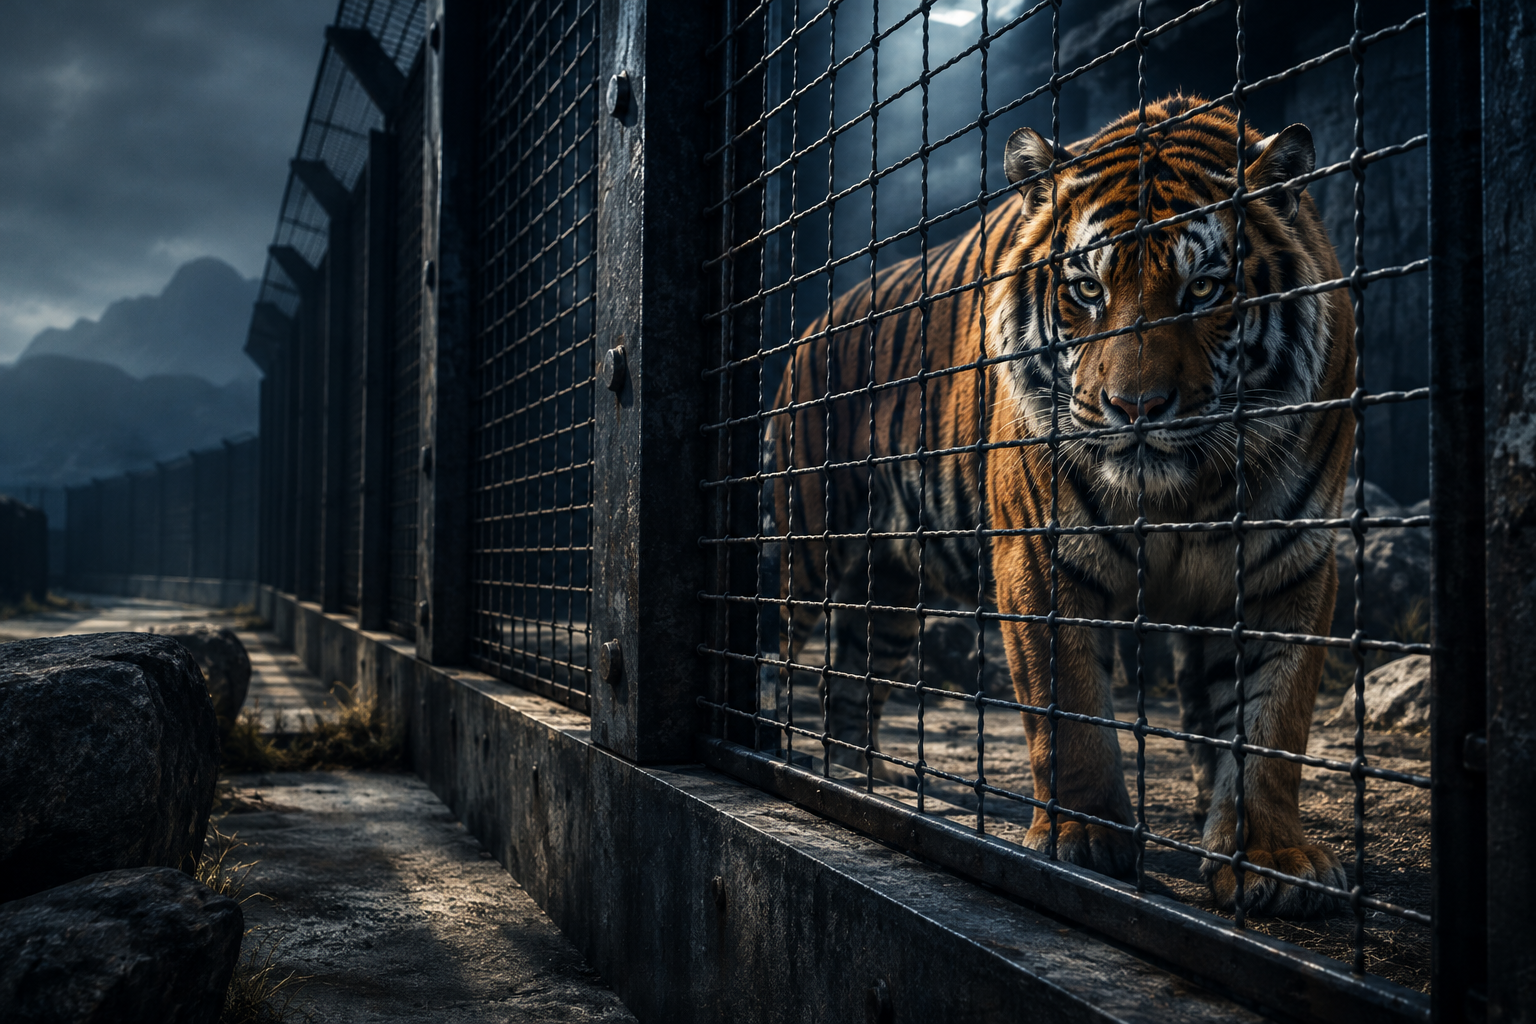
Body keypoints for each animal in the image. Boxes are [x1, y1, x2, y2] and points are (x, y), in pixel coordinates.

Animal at [764, 95, 1352, 918]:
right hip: (808, 545)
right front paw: (1084, 839)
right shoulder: (1042, 553)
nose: (1134, 407)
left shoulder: (1287, 564)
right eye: (1088, 290)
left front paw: (1270, 859)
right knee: (775, 641)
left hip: (894, 588)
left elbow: (1272, 720)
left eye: (1205, 290)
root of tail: (817, 322)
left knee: (853, 673)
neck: (1186, 491)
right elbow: (1067, 706)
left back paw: (857, 777)